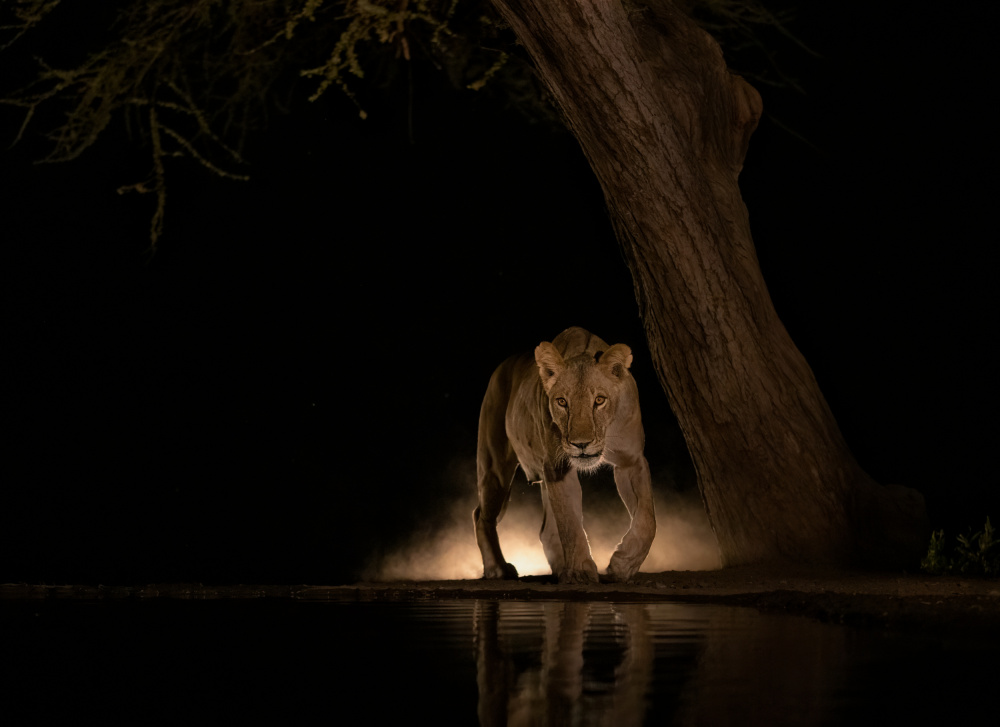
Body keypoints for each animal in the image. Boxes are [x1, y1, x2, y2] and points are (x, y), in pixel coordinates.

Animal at [473, 327, 656, 584]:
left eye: (599, 400)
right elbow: (570, 522)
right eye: (562, 402)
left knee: (546, 529)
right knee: (481, 516)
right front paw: (580, 572)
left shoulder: (632, 461)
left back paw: (559, 567)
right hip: (495, 468)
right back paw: (497, 568)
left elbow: (648, 519)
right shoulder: (557, 467)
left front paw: (622, 565)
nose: (581, 444)